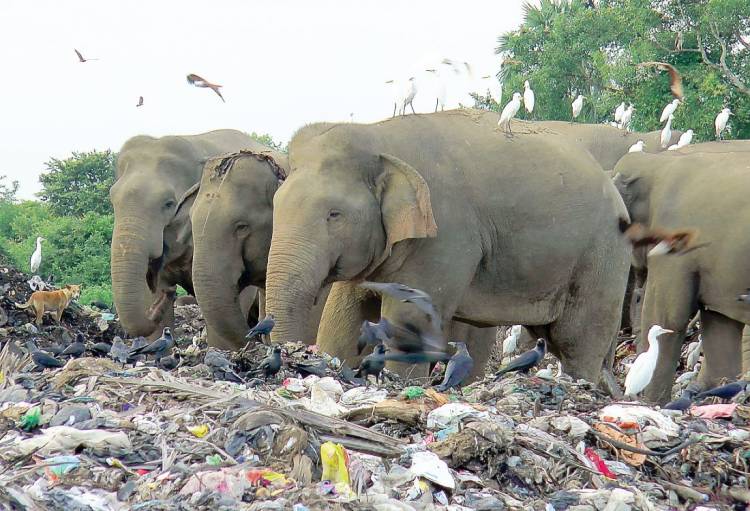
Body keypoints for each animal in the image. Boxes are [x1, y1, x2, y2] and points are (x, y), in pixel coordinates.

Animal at [268, 111, 632, 384]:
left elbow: (409, 317)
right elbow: (345, 315)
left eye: (334, 214)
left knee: (577, 340)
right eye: (275, 204)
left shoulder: (444, 234)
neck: (379, 136)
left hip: (603, 255)